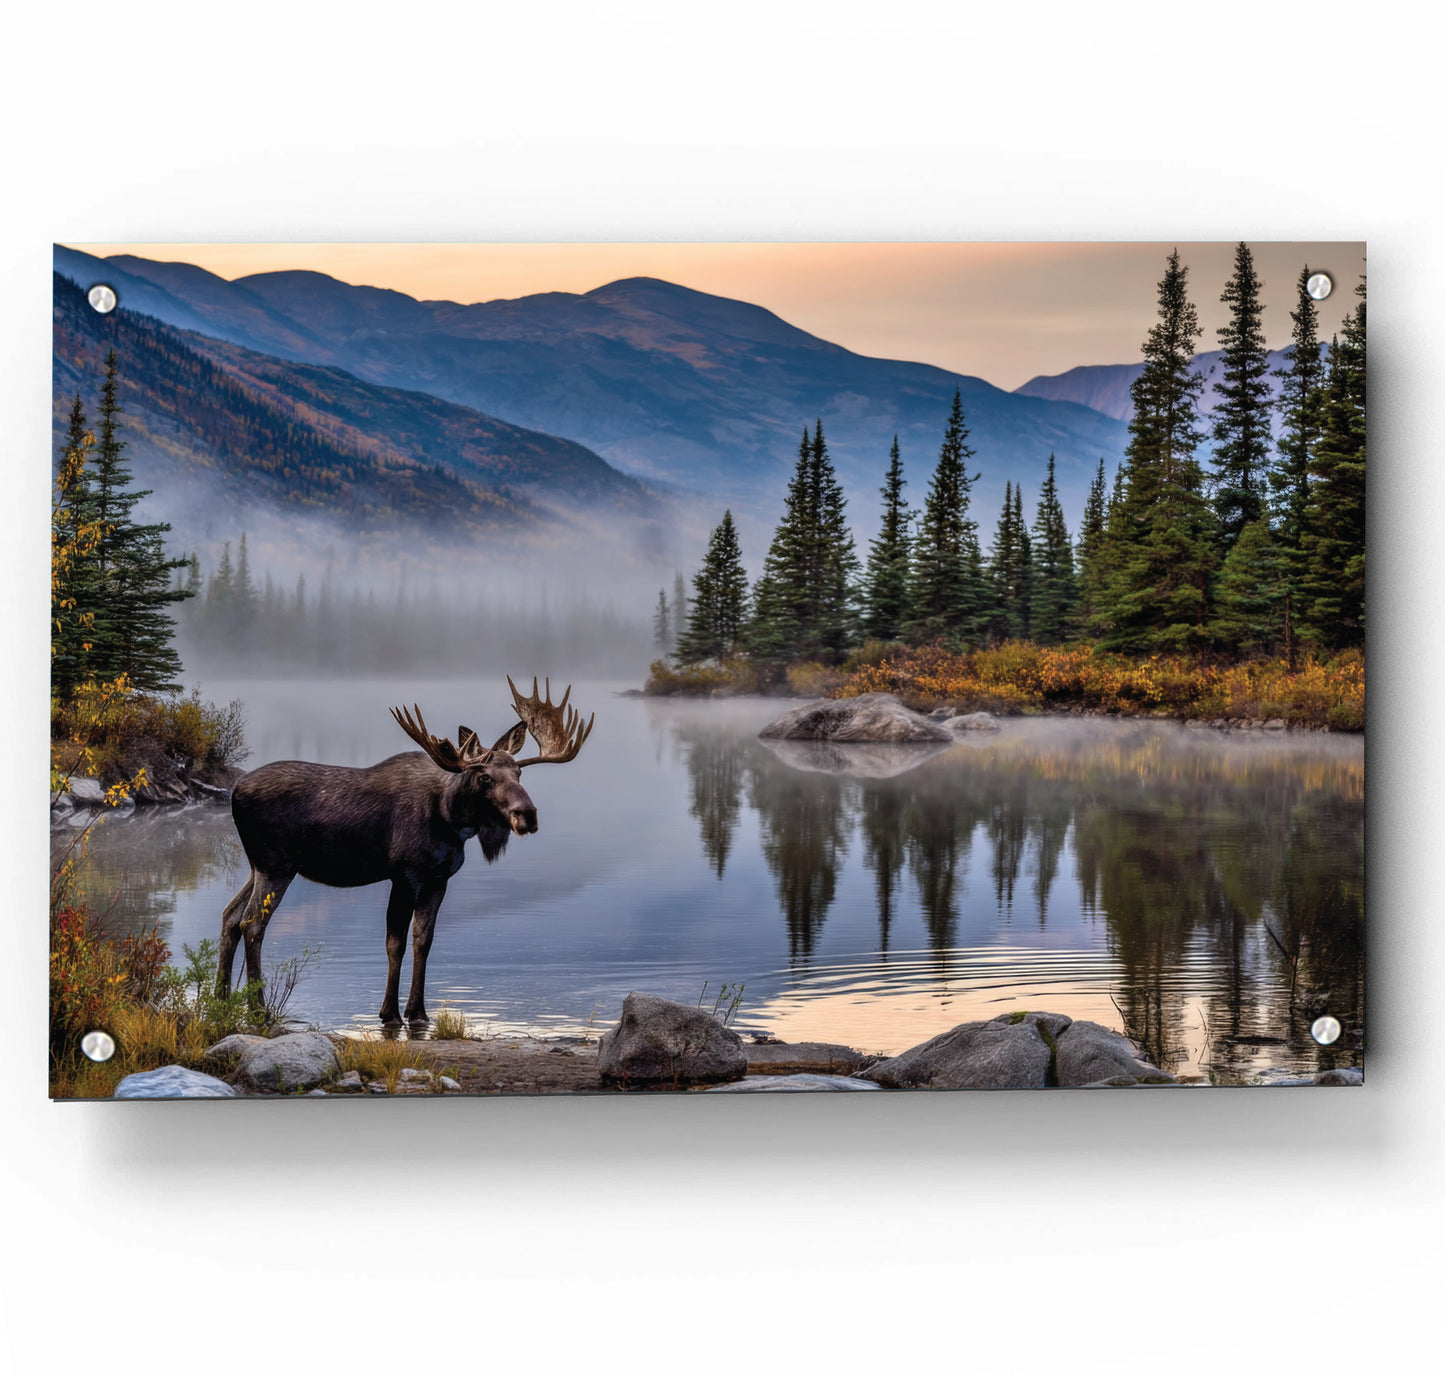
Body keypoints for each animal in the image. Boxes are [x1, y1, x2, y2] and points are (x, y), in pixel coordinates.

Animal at [217, 677, 594, 1025]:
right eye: (484, 776)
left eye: (519, 772)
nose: (526, 815)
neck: (451, 818)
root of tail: (235, 791)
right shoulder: (405, 874)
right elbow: (394, 942)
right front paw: (390, 1013)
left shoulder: (439, 879)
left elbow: (423, 940)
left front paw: (418, 1012)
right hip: (276, 865)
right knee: (252, 923)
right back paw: (258, 1012)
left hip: (258, 866)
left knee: (230, 916)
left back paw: (220, 1001)